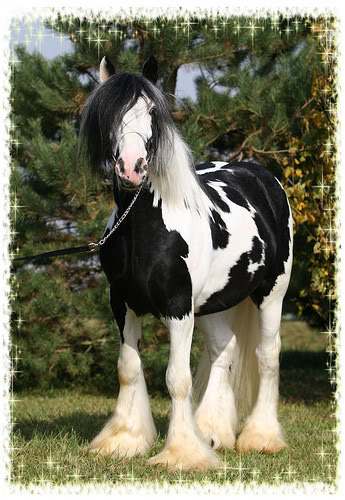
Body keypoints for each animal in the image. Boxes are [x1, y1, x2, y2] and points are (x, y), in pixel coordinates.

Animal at [79, 56, 292, 470]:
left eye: (152, 112)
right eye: (108, 114)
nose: (132, 167)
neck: (147, 227)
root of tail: (262, 176)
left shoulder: (178, 307)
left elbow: (177, 378)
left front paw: (181, 454)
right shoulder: (122, 304)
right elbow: (128, 369)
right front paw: (123, 441)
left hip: (271, 294)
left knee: (267, 356)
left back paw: (260, 438)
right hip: (214, 304)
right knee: (224, 350)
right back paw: (212, 432)